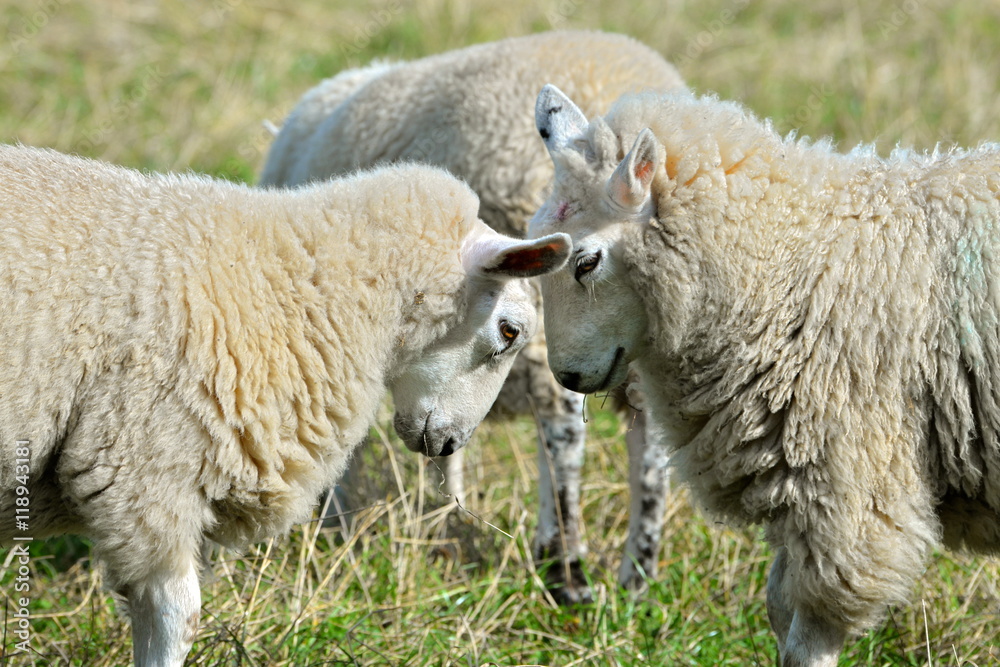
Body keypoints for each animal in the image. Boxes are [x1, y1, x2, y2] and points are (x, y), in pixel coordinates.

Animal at [529, 83, 1000, 666]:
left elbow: (808, 635)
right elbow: (778, 606)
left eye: (587, 262)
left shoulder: (848, 488)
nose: (568, 376)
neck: (785, 261)